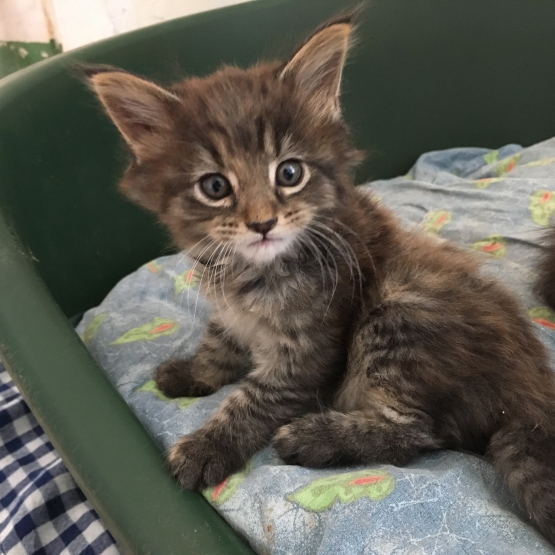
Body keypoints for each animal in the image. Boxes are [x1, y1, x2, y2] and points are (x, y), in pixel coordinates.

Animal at [86, 16, 555, 544]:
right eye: (215, 187)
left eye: (289, 173)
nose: (262, 223)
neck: (252, 271)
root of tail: (532, 396)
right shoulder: (228, 312)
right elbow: (218, 341)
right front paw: (193, 372)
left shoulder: (308, 352)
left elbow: (252, 401)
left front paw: (207, 448)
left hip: (400, 312)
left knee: (414, 433)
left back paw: (315, 437)